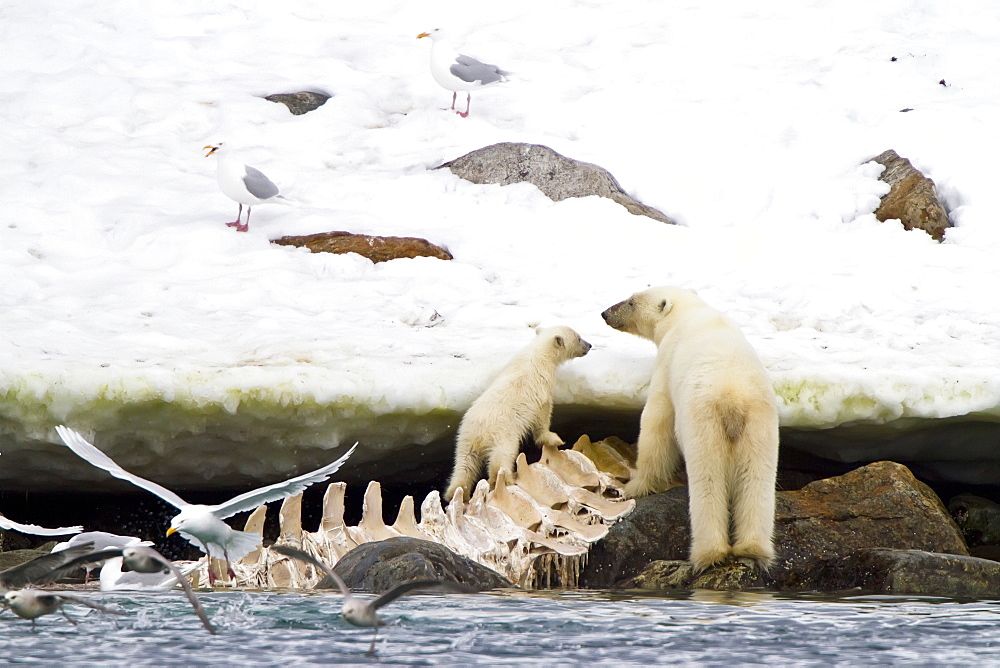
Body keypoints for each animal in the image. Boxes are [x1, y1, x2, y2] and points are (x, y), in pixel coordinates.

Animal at [600, 284, 780, 572]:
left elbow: (656, 422)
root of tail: (732, 403)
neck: (689, 313)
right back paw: (752, 549)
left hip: (703, 424)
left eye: (630, 302)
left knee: (707, 481)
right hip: (760, 427)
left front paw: (635, 485)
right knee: (757, 481)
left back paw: (708, 553)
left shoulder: (666, 362)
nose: (605, 313)